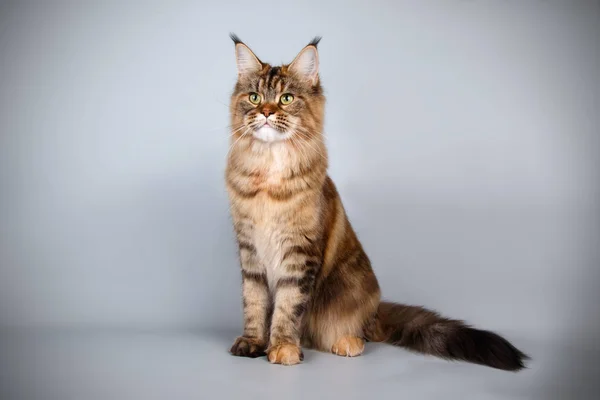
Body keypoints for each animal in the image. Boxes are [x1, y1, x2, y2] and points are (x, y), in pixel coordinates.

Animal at [223, 32, 528, 370]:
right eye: (254, 97)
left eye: (286, 98)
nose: (264, 112)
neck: (269, 171)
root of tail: (376, 307)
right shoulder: (250, 251)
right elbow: (254, 303)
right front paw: (253, 342)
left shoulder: (299, 254)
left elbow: (287, 308)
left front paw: (283, 347)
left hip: (351, 289)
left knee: (357, 332)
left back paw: (347, 342)